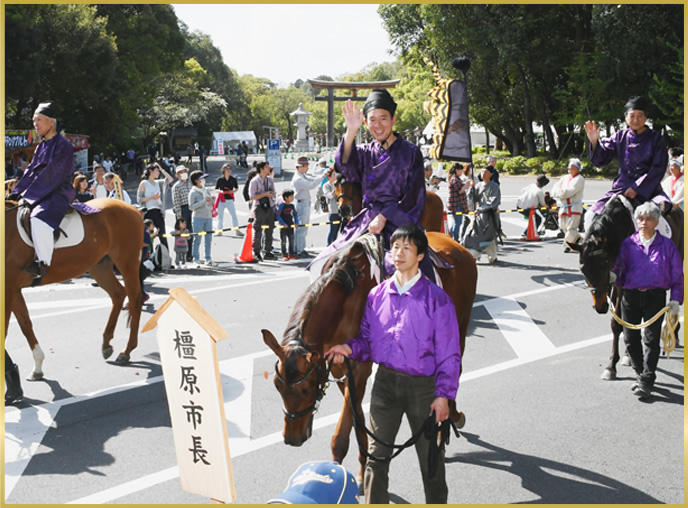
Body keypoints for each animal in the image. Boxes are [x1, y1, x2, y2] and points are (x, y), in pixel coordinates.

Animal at [5, 198, 146, 380]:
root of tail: (134, 209)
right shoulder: (13, 289)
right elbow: (25, 324)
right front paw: (37, 368)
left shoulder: (8, 289)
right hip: (99, 266)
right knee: (118, 294)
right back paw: (106, 344)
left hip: (127, 263)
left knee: (135, 299)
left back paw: (126, 351)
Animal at [260, 230, 476, 480]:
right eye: (277, 387)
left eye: (306, 389)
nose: (292, 439)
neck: (344, 303)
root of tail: (458, 246)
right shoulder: (340, 369)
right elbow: (357, 418)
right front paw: (365, 466)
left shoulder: (359, 368)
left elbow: (340, 437)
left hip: (458, 328)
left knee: (453, 371)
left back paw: (447, 424)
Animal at [568, 196, 684, 380]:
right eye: (582, 269)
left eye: (602, 265)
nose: (599, 307)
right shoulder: (614, 285)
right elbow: (623, 321)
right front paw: (621, 359)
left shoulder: (623, 284)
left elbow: (619, 322)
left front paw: (611, 366)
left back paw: (675, 333)